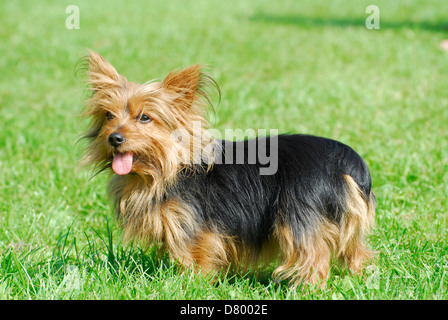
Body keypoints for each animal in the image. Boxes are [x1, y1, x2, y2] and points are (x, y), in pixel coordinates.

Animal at [79, 50, 374, 288]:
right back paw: (356, 279)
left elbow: (197, 258)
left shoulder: (197, 228)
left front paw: (191, 285)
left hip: (299, 218)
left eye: (144, 118)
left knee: (314, 256)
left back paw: (308, 288)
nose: (114, 138)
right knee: (356, 251)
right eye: (108, 115)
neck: (163, 170)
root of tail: (343, 161)